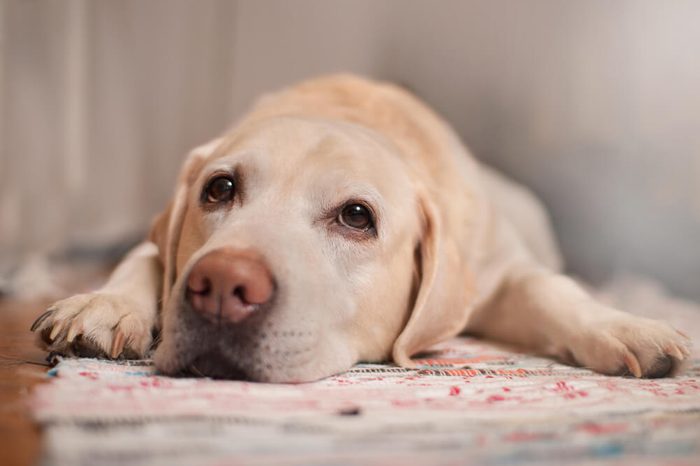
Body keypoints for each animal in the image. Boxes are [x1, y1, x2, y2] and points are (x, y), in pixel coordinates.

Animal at [31, 74, 688, 380]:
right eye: (218, 189)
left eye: (356, 217)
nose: (220, 285)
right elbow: (145, 257)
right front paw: (105, 304)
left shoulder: (501, 272)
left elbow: (551, 289)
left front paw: (624, 326)